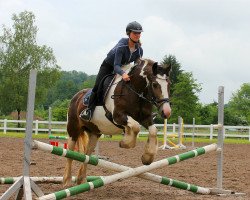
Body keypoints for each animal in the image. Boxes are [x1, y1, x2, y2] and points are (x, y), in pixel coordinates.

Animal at [63, 58, 172, 187]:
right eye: (155, 84)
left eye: (169, 84)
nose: (166, 112)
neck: (135, 91)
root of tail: (76, 96)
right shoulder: (118, 116)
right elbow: (135, 127)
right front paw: (125, 143)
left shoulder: (146, 118)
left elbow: (153, 131)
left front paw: (147, 158)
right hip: (73, 129)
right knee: (70, 154)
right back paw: (67, 182)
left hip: (94, 132)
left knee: (87, 154)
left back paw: (82, 180)